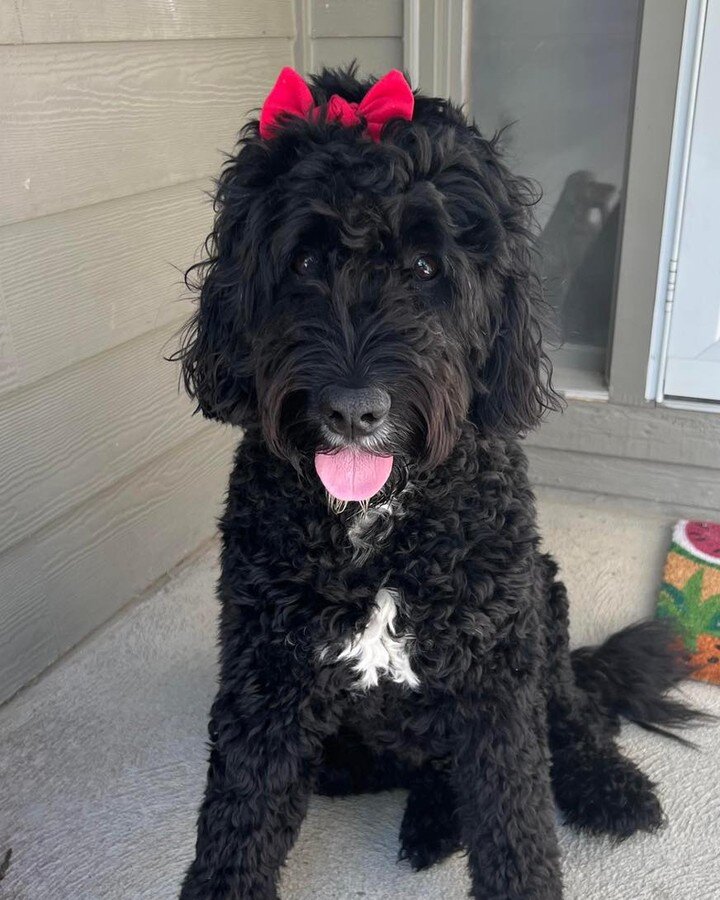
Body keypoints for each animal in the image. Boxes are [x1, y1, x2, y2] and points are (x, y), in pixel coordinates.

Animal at [176, 67, 696, 896]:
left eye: (425, 268)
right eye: (304, 262)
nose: (353, 409)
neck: (378, 526)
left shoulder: (496, 685)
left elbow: (517, 824)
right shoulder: (267, 680)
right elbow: (239, 822)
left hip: (542, 605)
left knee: (573, 711)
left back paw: (608, 786)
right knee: (419, 769)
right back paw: (433, 819)